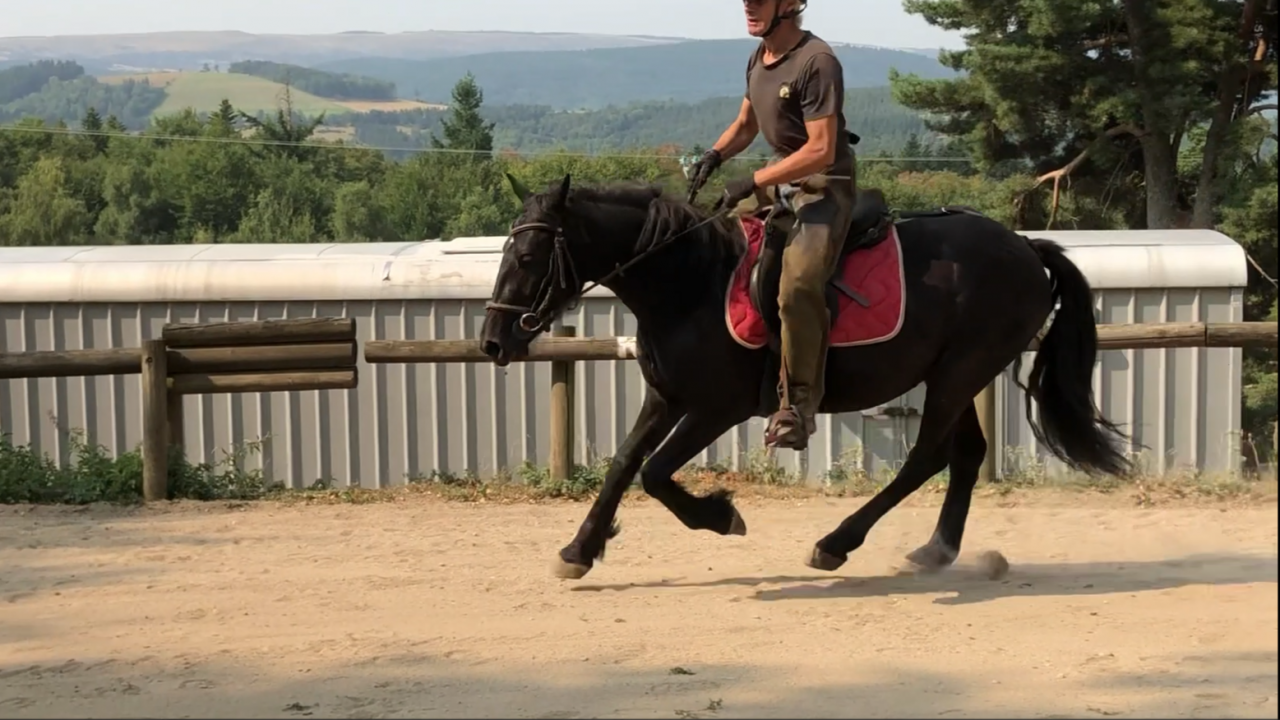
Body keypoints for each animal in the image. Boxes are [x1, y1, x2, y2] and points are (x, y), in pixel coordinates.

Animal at [479, 172, 1132, 580]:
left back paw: (835, 544)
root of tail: (1024, 247)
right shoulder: (666, 396)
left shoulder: (718, 408)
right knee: (967, 455)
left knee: (927, 458)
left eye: (529, 258)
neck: (690, 282)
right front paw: (578, 550)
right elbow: (623, 464)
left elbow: (656, 473)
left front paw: (720, 516)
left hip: (959, 372)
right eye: (505, 254)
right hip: (955, 374)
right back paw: (935, 550)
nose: (492, 340)